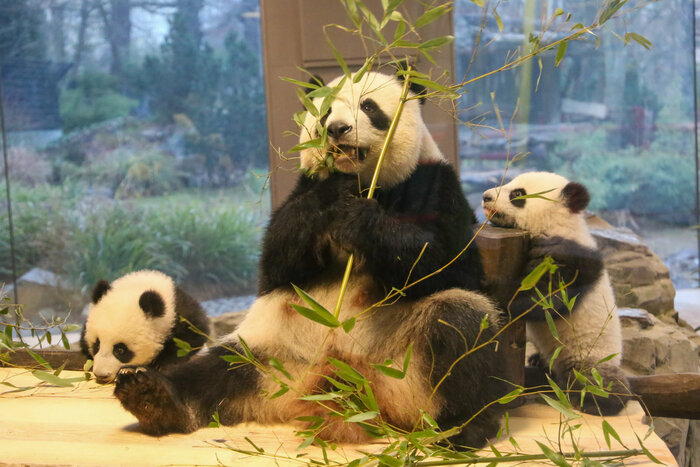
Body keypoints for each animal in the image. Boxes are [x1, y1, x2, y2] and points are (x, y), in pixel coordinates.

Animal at [80, 270, 210, 384]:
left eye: (120, 350)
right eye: (97, 345)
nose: (101, 374)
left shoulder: (181, 314)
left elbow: (191, 337)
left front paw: (160, 365)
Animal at [113, 71, 508, 448]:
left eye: (369, 107)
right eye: (326, 111)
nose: (337, 130)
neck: (365, 183)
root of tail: (346, 390)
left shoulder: (432, 182)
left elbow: (447, 263)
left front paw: (362, 223)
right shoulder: (302, 191)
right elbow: (277, 257)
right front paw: (332, 194)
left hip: (406, 369)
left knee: (459, 329)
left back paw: (462, 428)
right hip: (270, 352)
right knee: (218, 367)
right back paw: (152, 396)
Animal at [482, 171, 630, 415]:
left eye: (517, 194)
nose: (486, 197)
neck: (557, 225)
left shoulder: (569, 260)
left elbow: (539, 301)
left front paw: (491, 290)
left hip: (591, 356)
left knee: (597, 381)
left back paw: (600, 400)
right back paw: (536, 362)